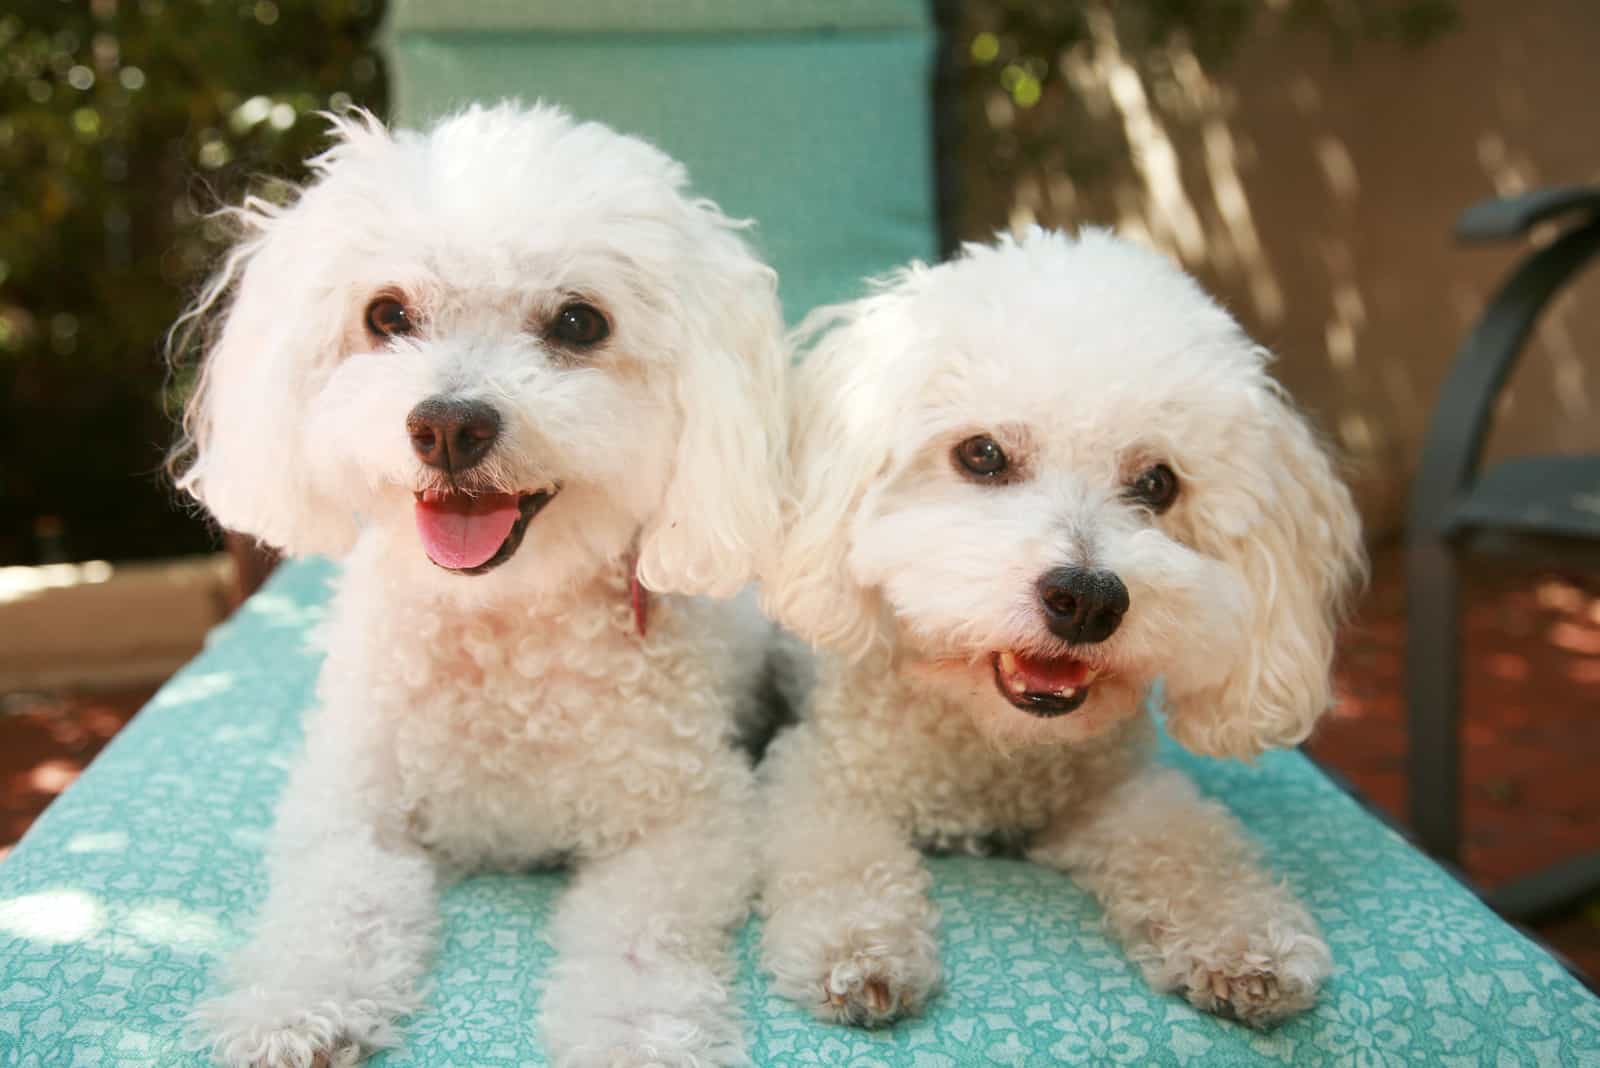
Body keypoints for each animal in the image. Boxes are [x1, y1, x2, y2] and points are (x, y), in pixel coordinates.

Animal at [173, 102, 787, 1068]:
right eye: (387, 313)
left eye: (579, 322)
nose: (448, 426)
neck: (500, 624)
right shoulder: (351, 805)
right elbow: (333, 905)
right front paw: (295, 1005)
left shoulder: (684, 824)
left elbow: (638, 947)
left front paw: (633, 1040)